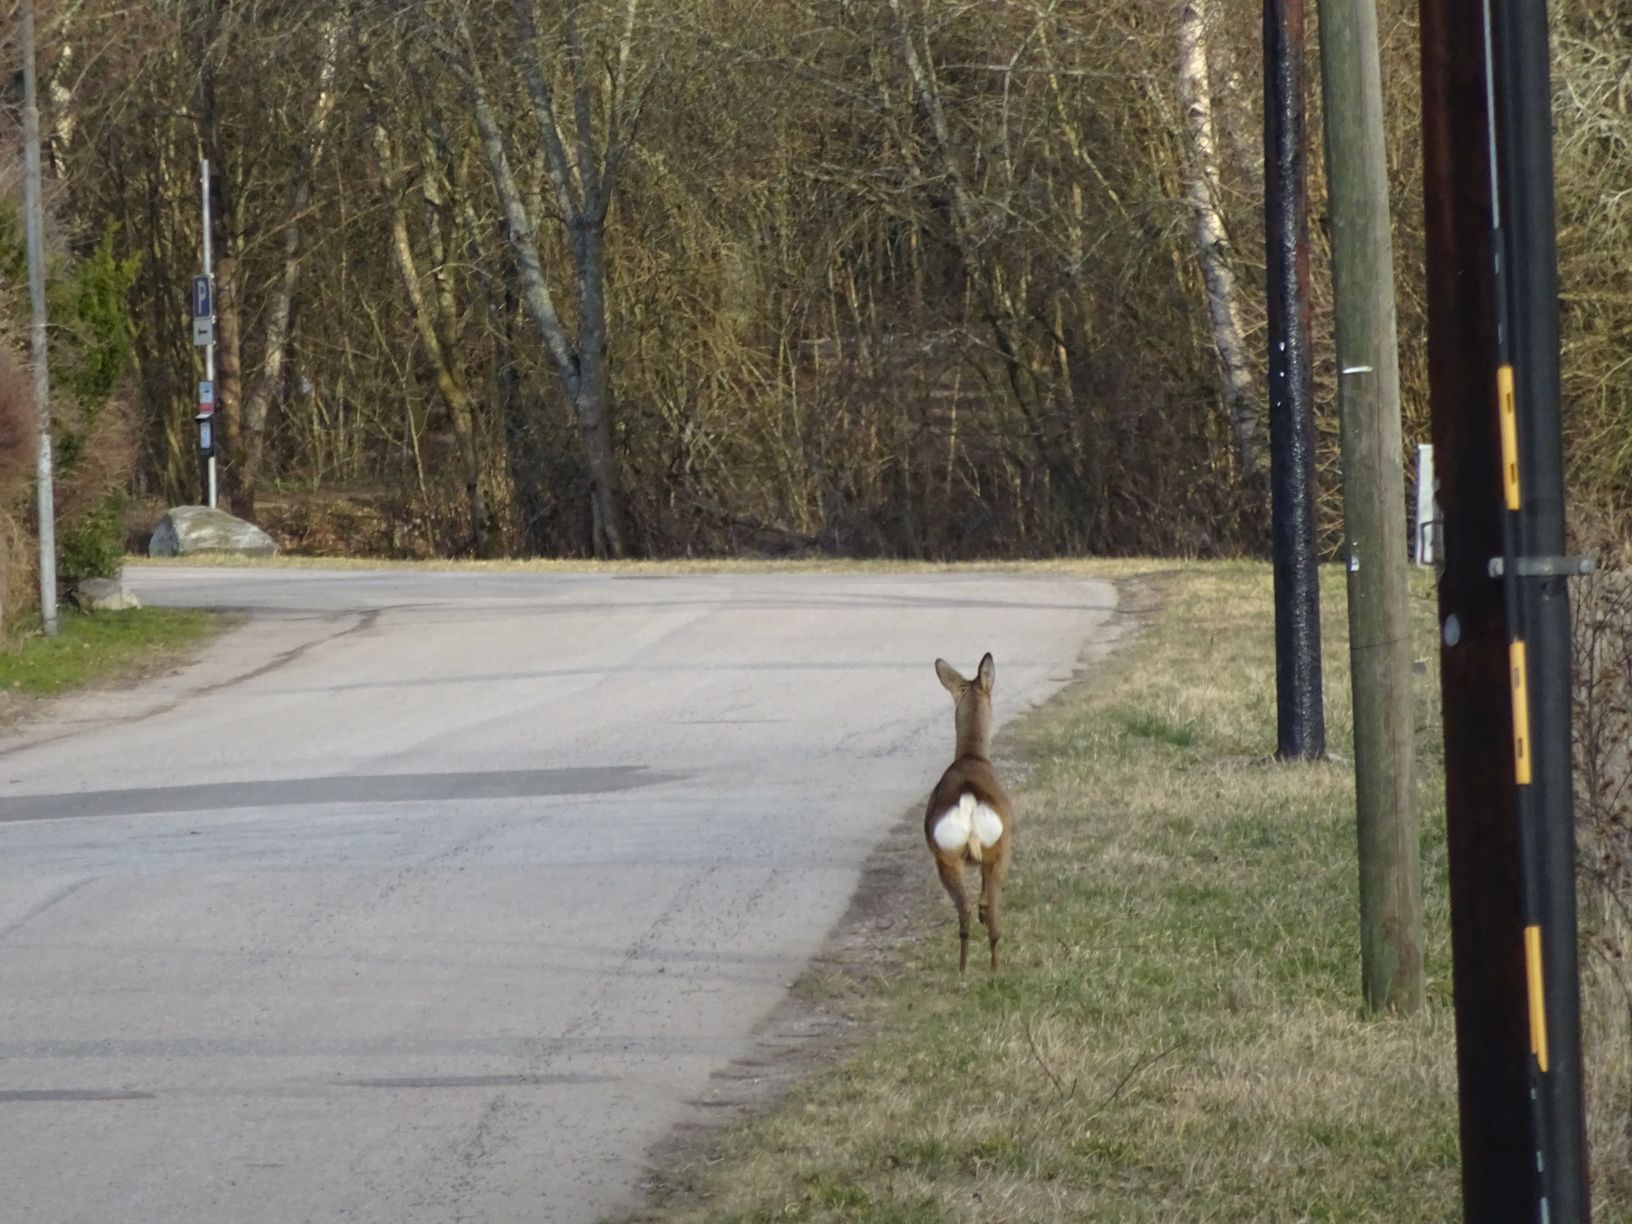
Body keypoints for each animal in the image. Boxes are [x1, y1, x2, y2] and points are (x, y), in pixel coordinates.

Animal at [926, 656, 1011, 972]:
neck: (971, 756)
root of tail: (968, 803)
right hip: (996, 851)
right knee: (987, 914)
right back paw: (990, 970)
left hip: (949, 856)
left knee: (966, 912)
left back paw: (966, 969)